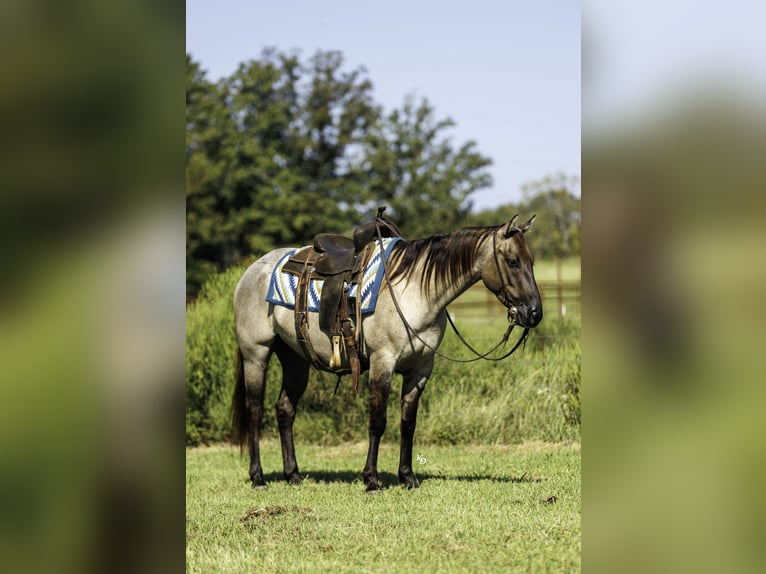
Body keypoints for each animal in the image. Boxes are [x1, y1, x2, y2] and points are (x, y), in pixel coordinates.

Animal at [230, 215, 542, 492]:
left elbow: (408, 424)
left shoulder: (420, 370)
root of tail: (251, 271)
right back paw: (258, 478)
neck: (416, 293)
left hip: (295, 360)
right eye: (513, 261)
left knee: (285, 409)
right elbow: (378, 422)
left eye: (531, 261)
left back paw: (293, 475)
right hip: (256, 355)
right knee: (255, 410)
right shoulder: (384, 363)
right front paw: (371, 480)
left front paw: (408, 478)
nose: (534, 313)